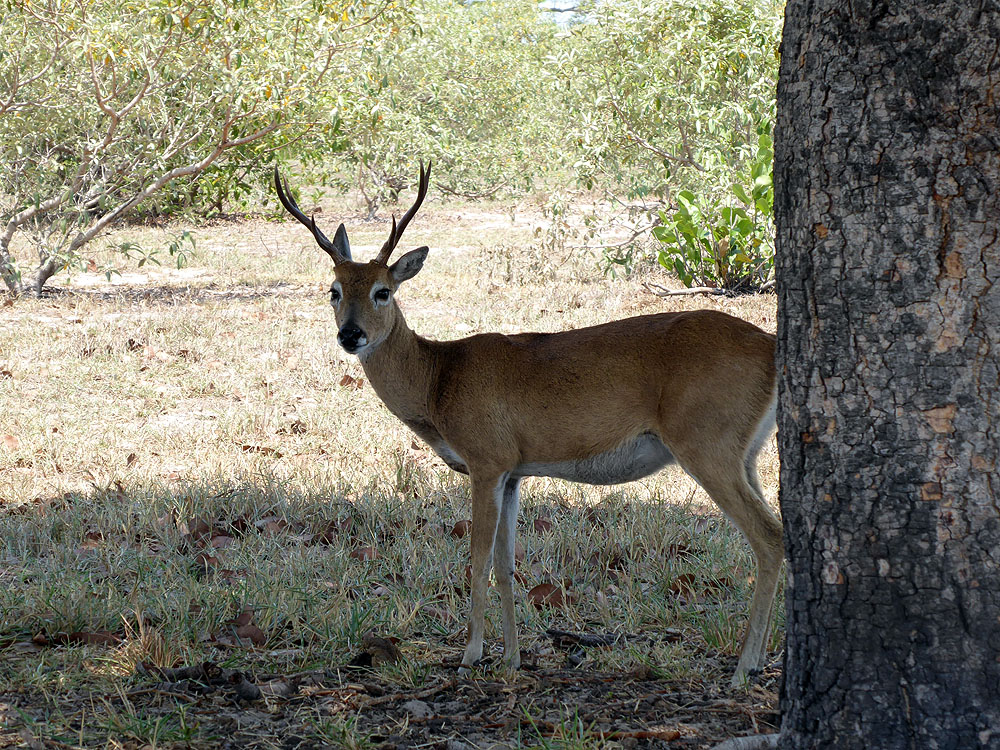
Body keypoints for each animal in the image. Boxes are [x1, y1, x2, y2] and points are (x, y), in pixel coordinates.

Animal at [278, 164, 784, 688]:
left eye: (383, 291)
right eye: (334, 291)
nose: (350, 334)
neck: (439, 380)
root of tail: (770, 346)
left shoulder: (486, 458)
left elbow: (477, 560)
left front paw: (470, 655)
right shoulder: (514, 471)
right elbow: (506, 564)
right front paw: (512, 658)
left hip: (705, 440)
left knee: (769, 536)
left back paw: (743, 668)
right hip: (745, 451)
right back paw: (760, 658)